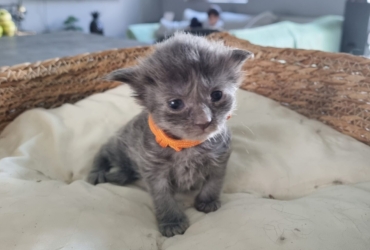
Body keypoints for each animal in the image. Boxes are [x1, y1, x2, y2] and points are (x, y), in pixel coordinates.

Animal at [87, 32, 251, 236]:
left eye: (217, 95)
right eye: (175, 104)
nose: (204, 121)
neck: (187, 146)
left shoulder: (220, 159)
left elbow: (214, 182)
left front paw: (207, 201)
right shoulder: (154, 171)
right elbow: (163, 198)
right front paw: (172, 221)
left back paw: (117, 176)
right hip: (121, 145)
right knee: (104, 150)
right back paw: (98, 173)